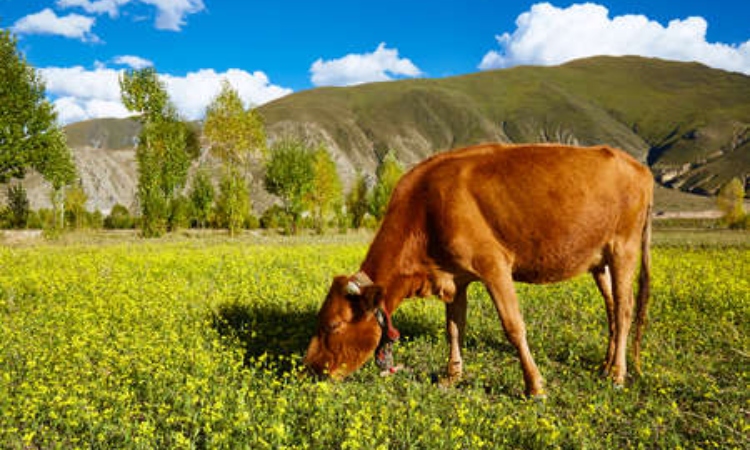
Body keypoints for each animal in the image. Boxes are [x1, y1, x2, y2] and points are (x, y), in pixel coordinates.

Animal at [304, 143, 653, 397]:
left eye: (333, 325)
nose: (310, 368)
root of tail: (637, 166)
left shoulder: (493, 265)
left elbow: (514, 327)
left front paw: (535, 386)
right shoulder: (455, 277)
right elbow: (454, 328)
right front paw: (452, 376)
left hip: (624, 248)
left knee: (624, 310)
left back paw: (617, 375)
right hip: (599, 261)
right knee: (611, 309)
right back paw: (605, 366)